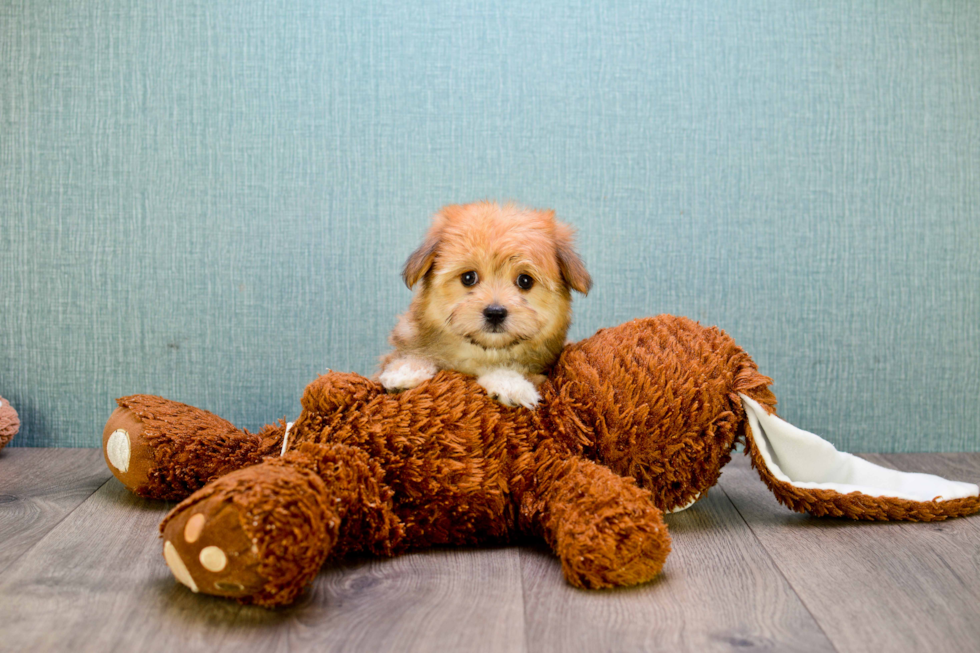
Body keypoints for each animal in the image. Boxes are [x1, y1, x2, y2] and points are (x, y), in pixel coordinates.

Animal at [378, 201, 588, 410]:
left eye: (525, 281)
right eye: (468, 277)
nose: (495, 313)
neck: (484, 352)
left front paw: (510, 384)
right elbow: (412, 356)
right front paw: (405, 371)